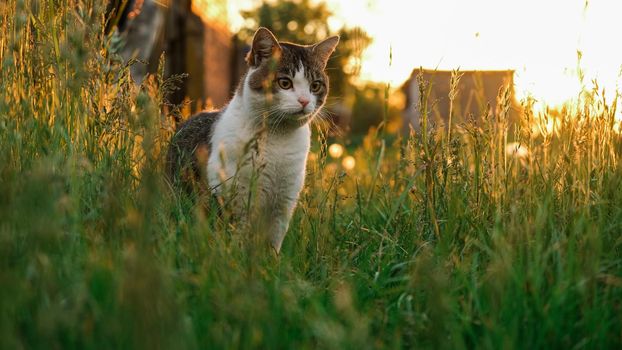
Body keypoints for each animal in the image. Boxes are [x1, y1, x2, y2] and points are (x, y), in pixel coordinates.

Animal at [167, 26, 342, 252]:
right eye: (284, 83)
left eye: (315, 86)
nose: (304, 101)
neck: (278, 139)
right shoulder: (230, 194)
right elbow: (235, 235)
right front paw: (238, 256)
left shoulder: (284, 202)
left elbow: (274, 242)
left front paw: (271, 261)